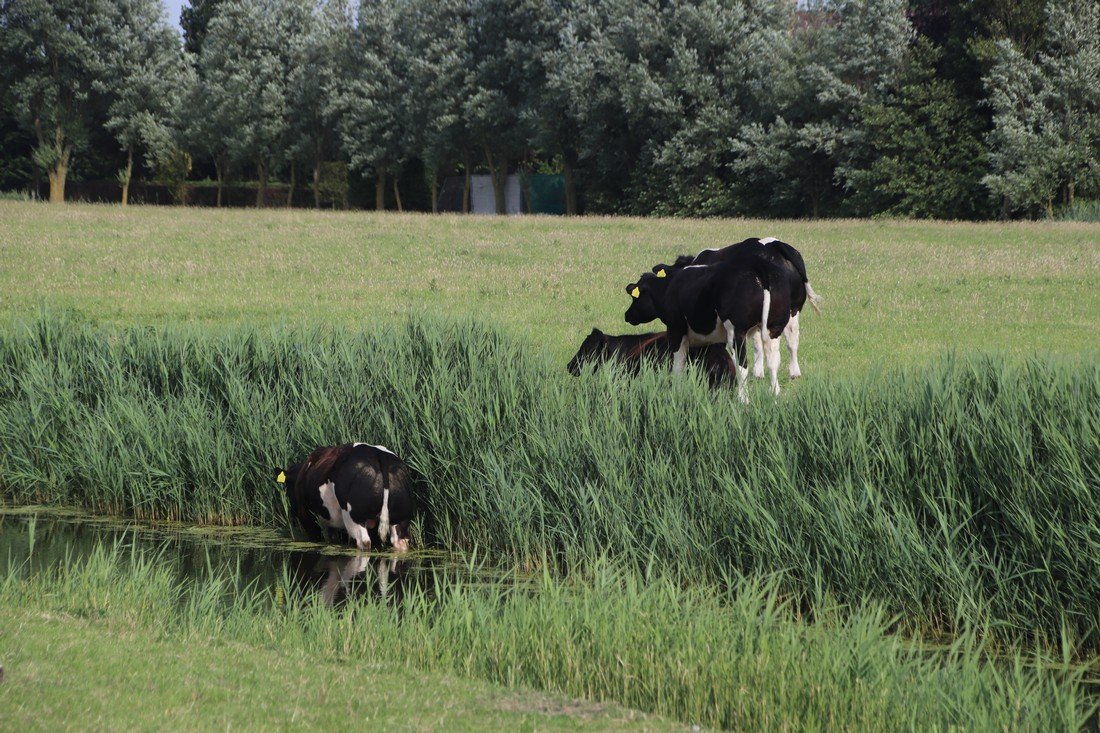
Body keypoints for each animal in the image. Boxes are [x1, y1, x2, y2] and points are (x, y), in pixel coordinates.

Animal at [273, 440, 413, 554]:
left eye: (288, 488)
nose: (291, 514)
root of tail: (379, 454)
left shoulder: (307, 517)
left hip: (354, 517)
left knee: (364, 542)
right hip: (401, 518)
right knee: (400, 541)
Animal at [629, 250, 792, 400]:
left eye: (635, 297)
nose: (627, 315)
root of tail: (758, 265)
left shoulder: (676, 330)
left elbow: (678, 365)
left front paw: (677, 392)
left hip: (737, 331)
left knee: (742, 365)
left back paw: (743, 400)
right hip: (774, 328)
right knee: (773, 362)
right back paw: (775, 396)